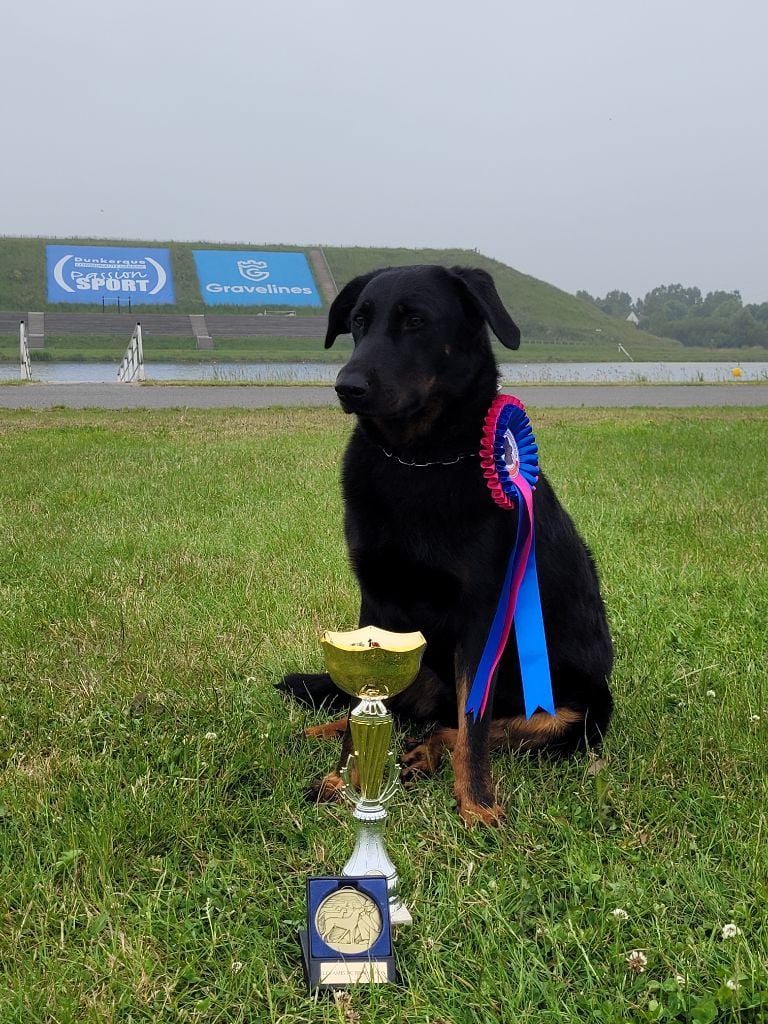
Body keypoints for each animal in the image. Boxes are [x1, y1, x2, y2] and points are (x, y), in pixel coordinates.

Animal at [280, 264, 618, 823]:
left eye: (416, 320)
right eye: (359, 321)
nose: (347, 387)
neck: (420, 461)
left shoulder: (484, 617)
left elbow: (474, 727)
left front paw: (476, 804)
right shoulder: (376, 601)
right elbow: (363, 710)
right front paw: (344, 779)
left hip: (574, 714)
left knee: (453, 725)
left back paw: (423, 754)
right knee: (401, 714)